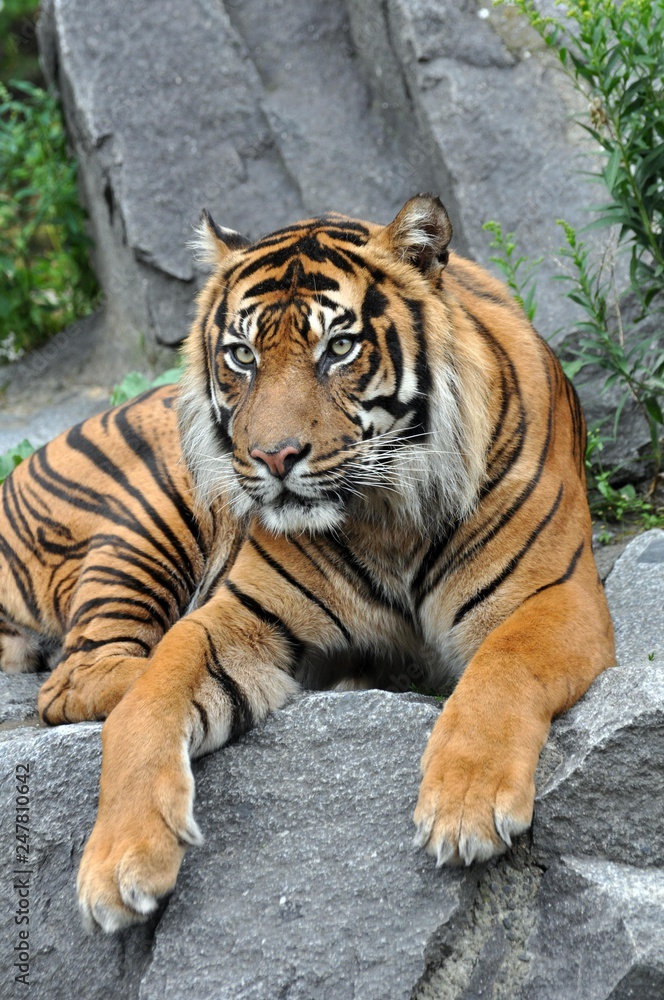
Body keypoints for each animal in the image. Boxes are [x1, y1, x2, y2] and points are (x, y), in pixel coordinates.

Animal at [0, 195, 615, 932]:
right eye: (241, 356)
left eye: (339, 348)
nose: (274, 456)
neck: (386, 515)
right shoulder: (240, 613)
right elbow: (150, 697)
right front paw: (120, 862)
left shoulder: (557, 594)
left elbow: (502, 665)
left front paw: (466, 803)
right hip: (150, 513)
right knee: (76, 678)